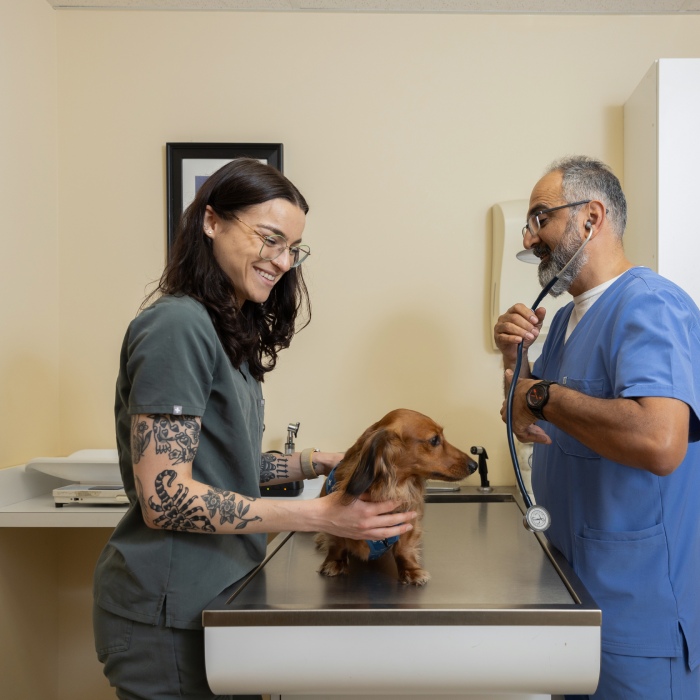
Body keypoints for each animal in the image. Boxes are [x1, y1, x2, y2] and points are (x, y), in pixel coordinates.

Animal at [316, 408, 476, 588]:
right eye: (434, 440)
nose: (474, 465)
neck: (392, 486)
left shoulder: (410, 521)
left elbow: (403, 549)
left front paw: (411, 570)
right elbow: (337, 543)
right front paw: (335, 562)